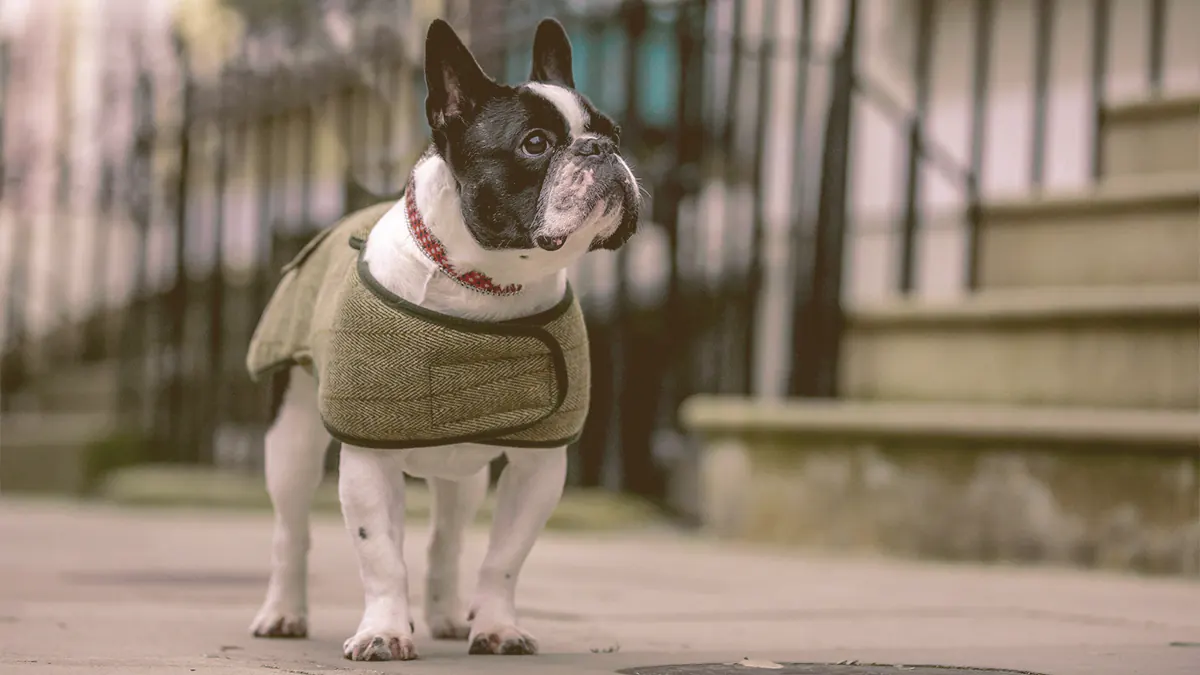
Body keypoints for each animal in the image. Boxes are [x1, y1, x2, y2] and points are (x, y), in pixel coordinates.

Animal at [249, 18, 643, 658]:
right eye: (535, 144)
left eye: (613, 133)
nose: (601, 151)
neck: (485, 284)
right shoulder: (367, 460)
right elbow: (381, 555)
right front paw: (383, 632)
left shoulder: (539, 467)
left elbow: (504, 557)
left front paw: (497, 627)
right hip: (293, 438)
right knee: (291, 529)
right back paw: (282, 612)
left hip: (463, 470)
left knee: (447, 538)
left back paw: (450, 616)